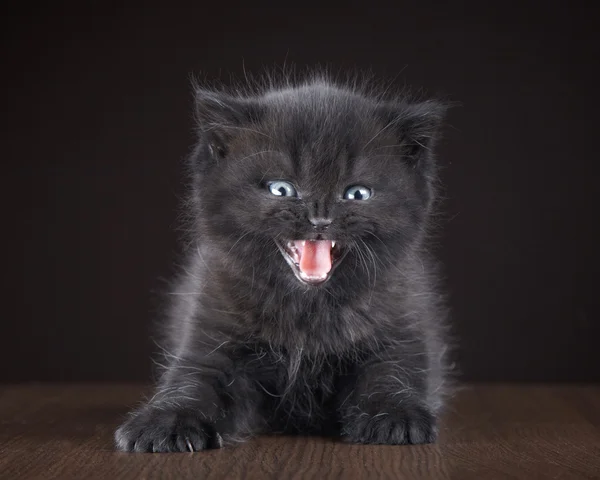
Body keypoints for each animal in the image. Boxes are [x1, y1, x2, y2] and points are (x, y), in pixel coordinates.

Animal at [113, 71, 450, 450]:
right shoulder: (212, 333)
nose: (320, 219)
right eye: (281, 189)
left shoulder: (400, 325)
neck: (307, 313)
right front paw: (162, 422)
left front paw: (396, 416)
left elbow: (391, 374)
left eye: (357, 193)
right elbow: (193, 382)